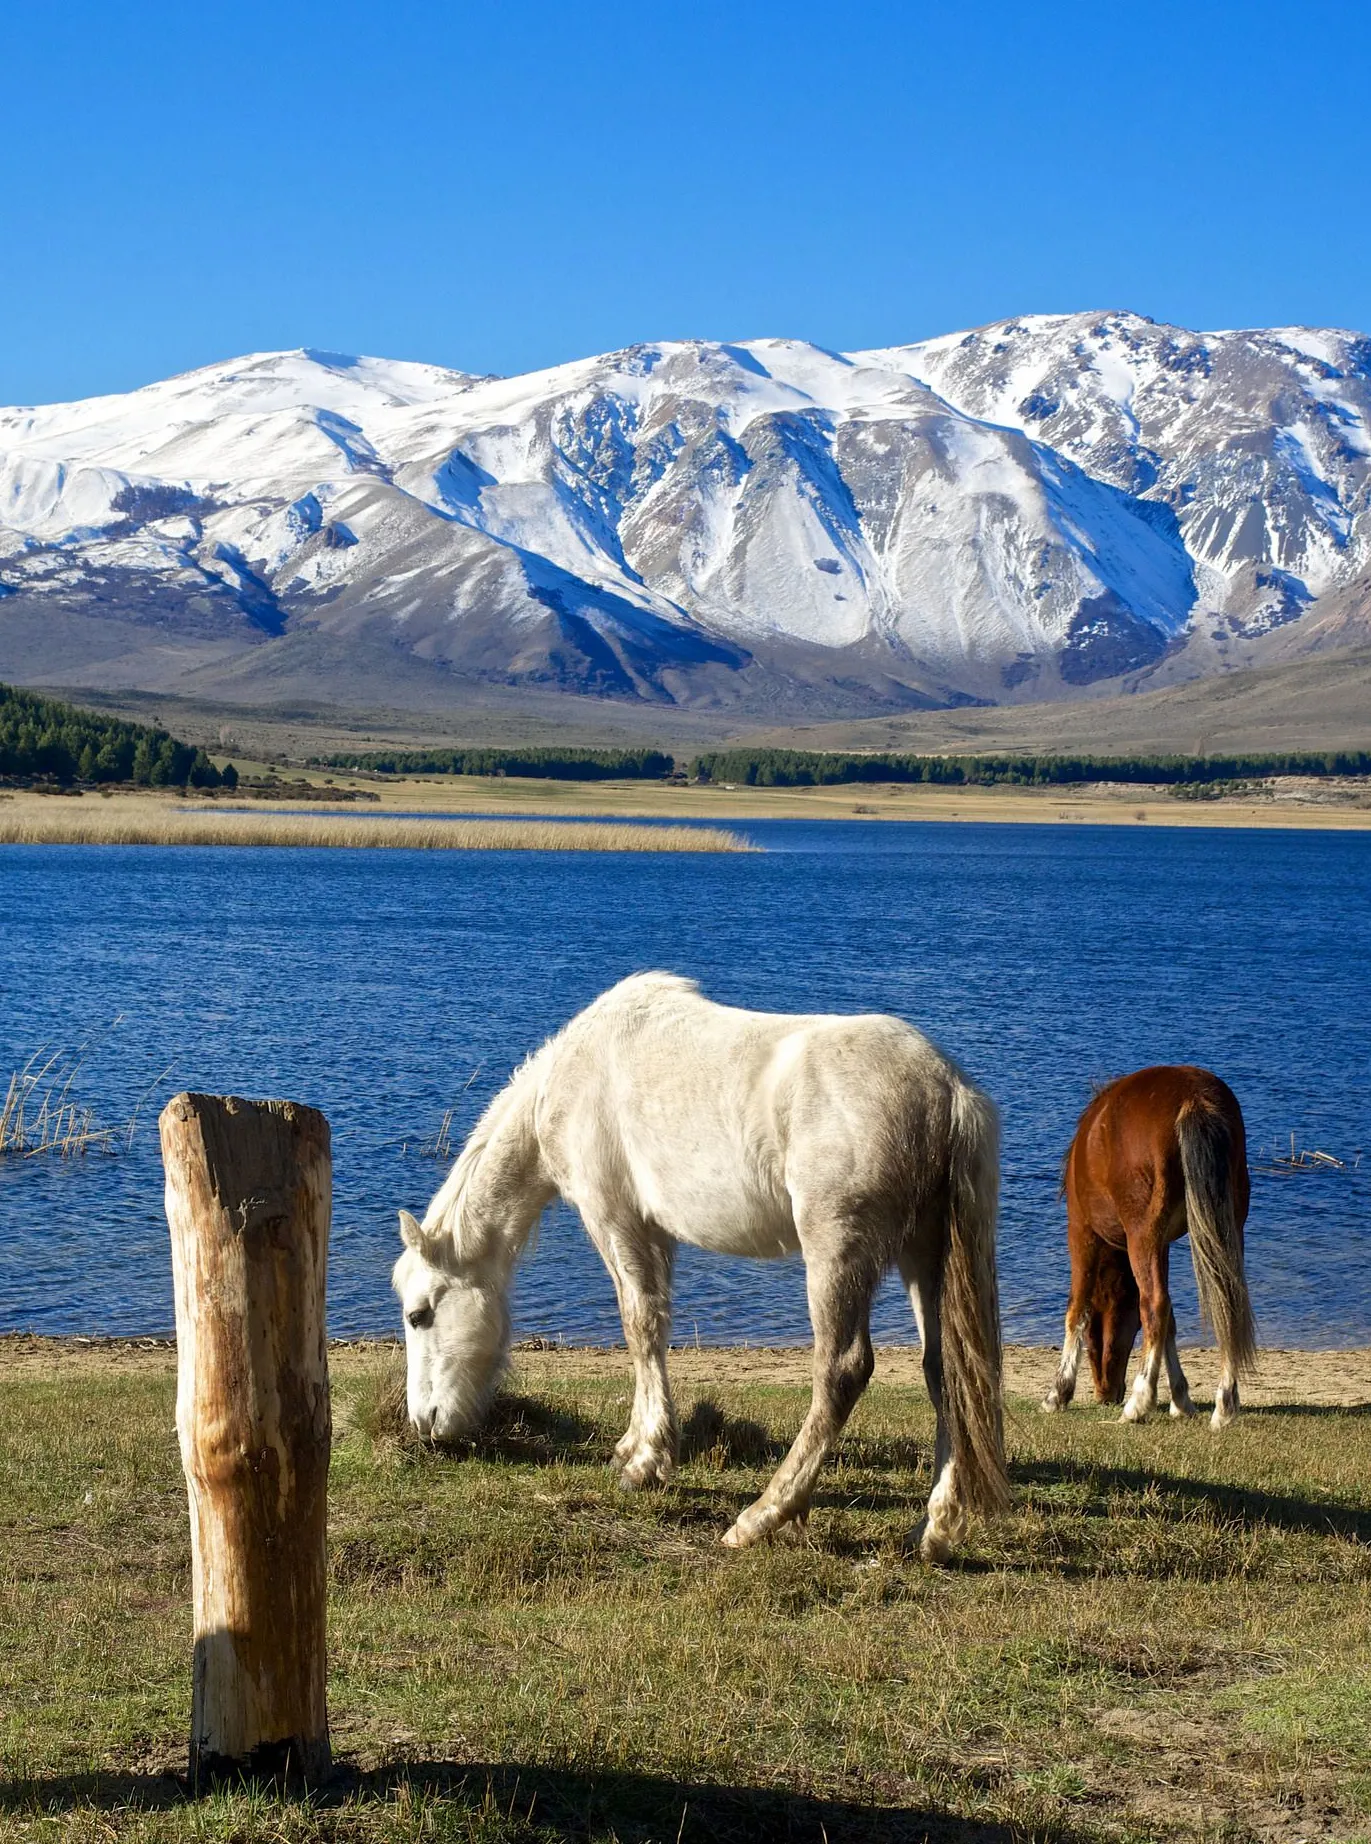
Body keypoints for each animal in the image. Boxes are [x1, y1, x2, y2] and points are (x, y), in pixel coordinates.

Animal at [391, 973, 1011, 1563]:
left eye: (420, 1315)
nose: (425, 1423)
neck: (573, 1077)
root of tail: (947, 1090)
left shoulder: (614, 1219)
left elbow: (638, 1327)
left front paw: (644, 1463)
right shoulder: (655, 1233)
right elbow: (655, 1330)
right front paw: (635, 1446)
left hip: (836, 1252)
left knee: (842, 1371)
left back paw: (762, 1517)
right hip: (923, 1256)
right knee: (945, 1373)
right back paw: (931, 1531)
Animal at [1048, 1069, 1262, 1423]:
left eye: (1095, 1337)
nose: (1106, 1394)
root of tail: (1194, 1099)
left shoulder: (1082, 1233)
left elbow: (1077, 1308)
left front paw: (1058, 1393)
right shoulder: (1162, 1246)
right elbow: (1171, 1323)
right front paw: (1181, 1399)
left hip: (1140, 1235)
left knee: (1154, 1305)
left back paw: (1138, 1403)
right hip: (1227, 1228)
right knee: (1227, 1305)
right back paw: (1225, 1406)